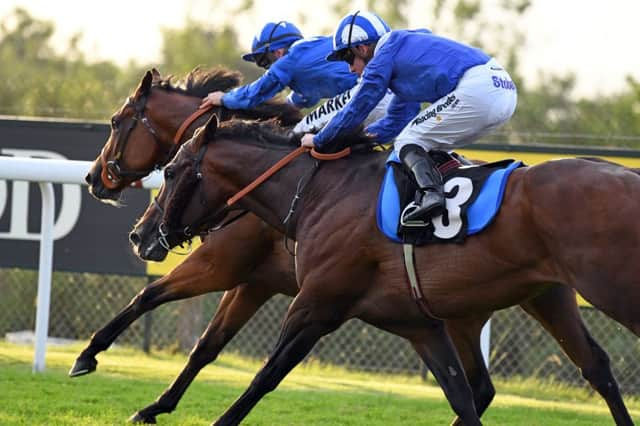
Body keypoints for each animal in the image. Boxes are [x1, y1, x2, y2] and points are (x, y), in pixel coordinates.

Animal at [76, 70, 632, 422]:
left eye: (117, 122)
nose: (94, 179)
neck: (313, 188)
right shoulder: (263, 281)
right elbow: (206, 346)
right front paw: (154, 405)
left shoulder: (242, 272)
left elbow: (155, 300)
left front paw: (89, 357)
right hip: (535, 298)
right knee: (583, 371)